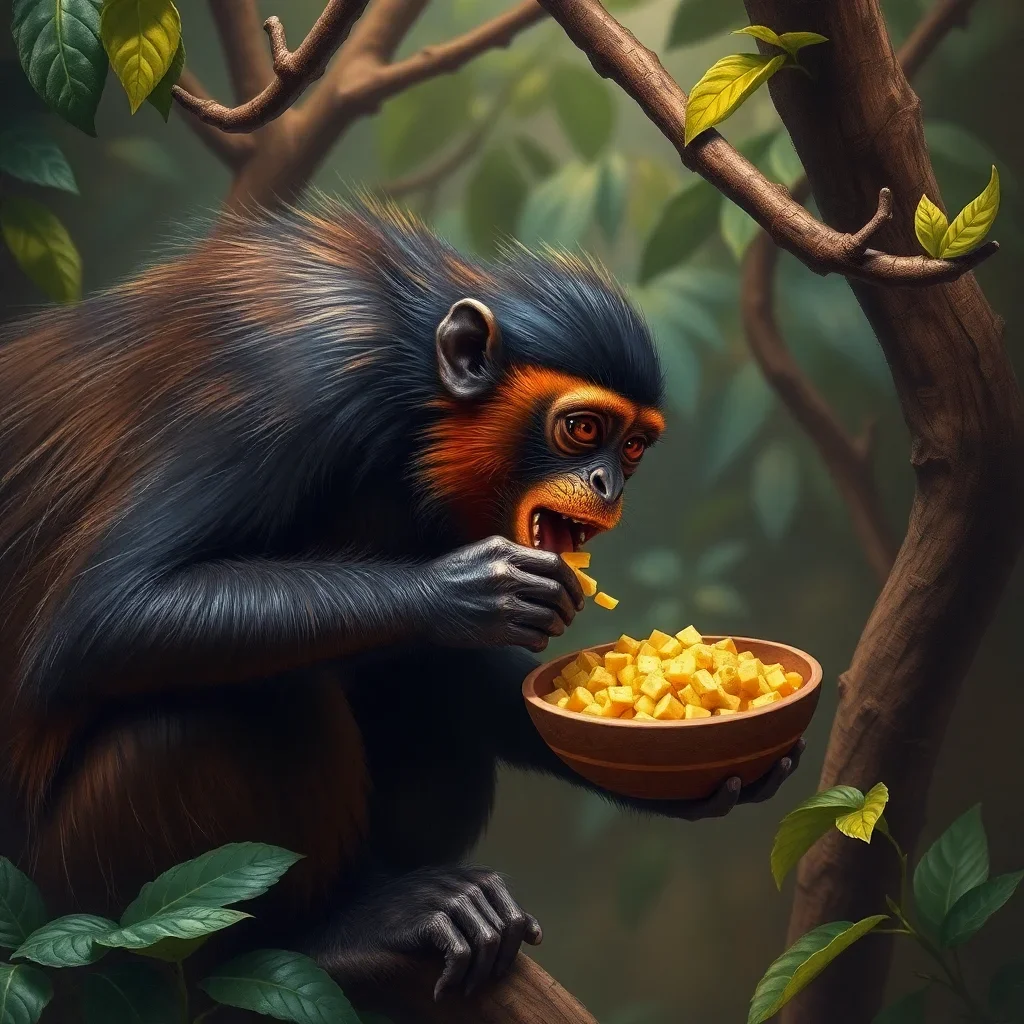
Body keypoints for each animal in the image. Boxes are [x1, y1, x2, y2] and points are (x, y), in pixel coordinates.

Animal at [0, 197, 802, 1006]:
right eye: (584, 429)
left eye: (633, 446)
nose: (610, 483)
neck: (412, 395)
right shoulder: (291, 393)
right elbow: (107, 614)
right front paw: (467, 591)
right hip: (90, 905)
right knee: (228, 707)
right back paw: (336, 931)